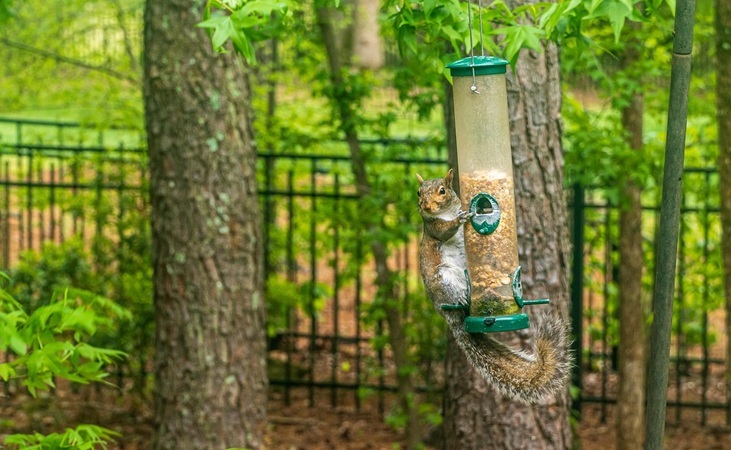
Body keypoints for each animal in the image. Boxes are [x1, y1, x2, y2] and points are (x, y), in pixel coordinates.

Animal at [416, 168, 572, 404]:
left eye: (442, 190)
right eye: (418, 192)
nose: (425, 206)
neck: (444, 212)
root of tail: (446, 314)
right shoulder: (433, 228)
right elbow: (444, 231)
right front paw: (460, 219)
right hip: (443, 279)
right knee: (453, 297)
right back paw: (461, 298)